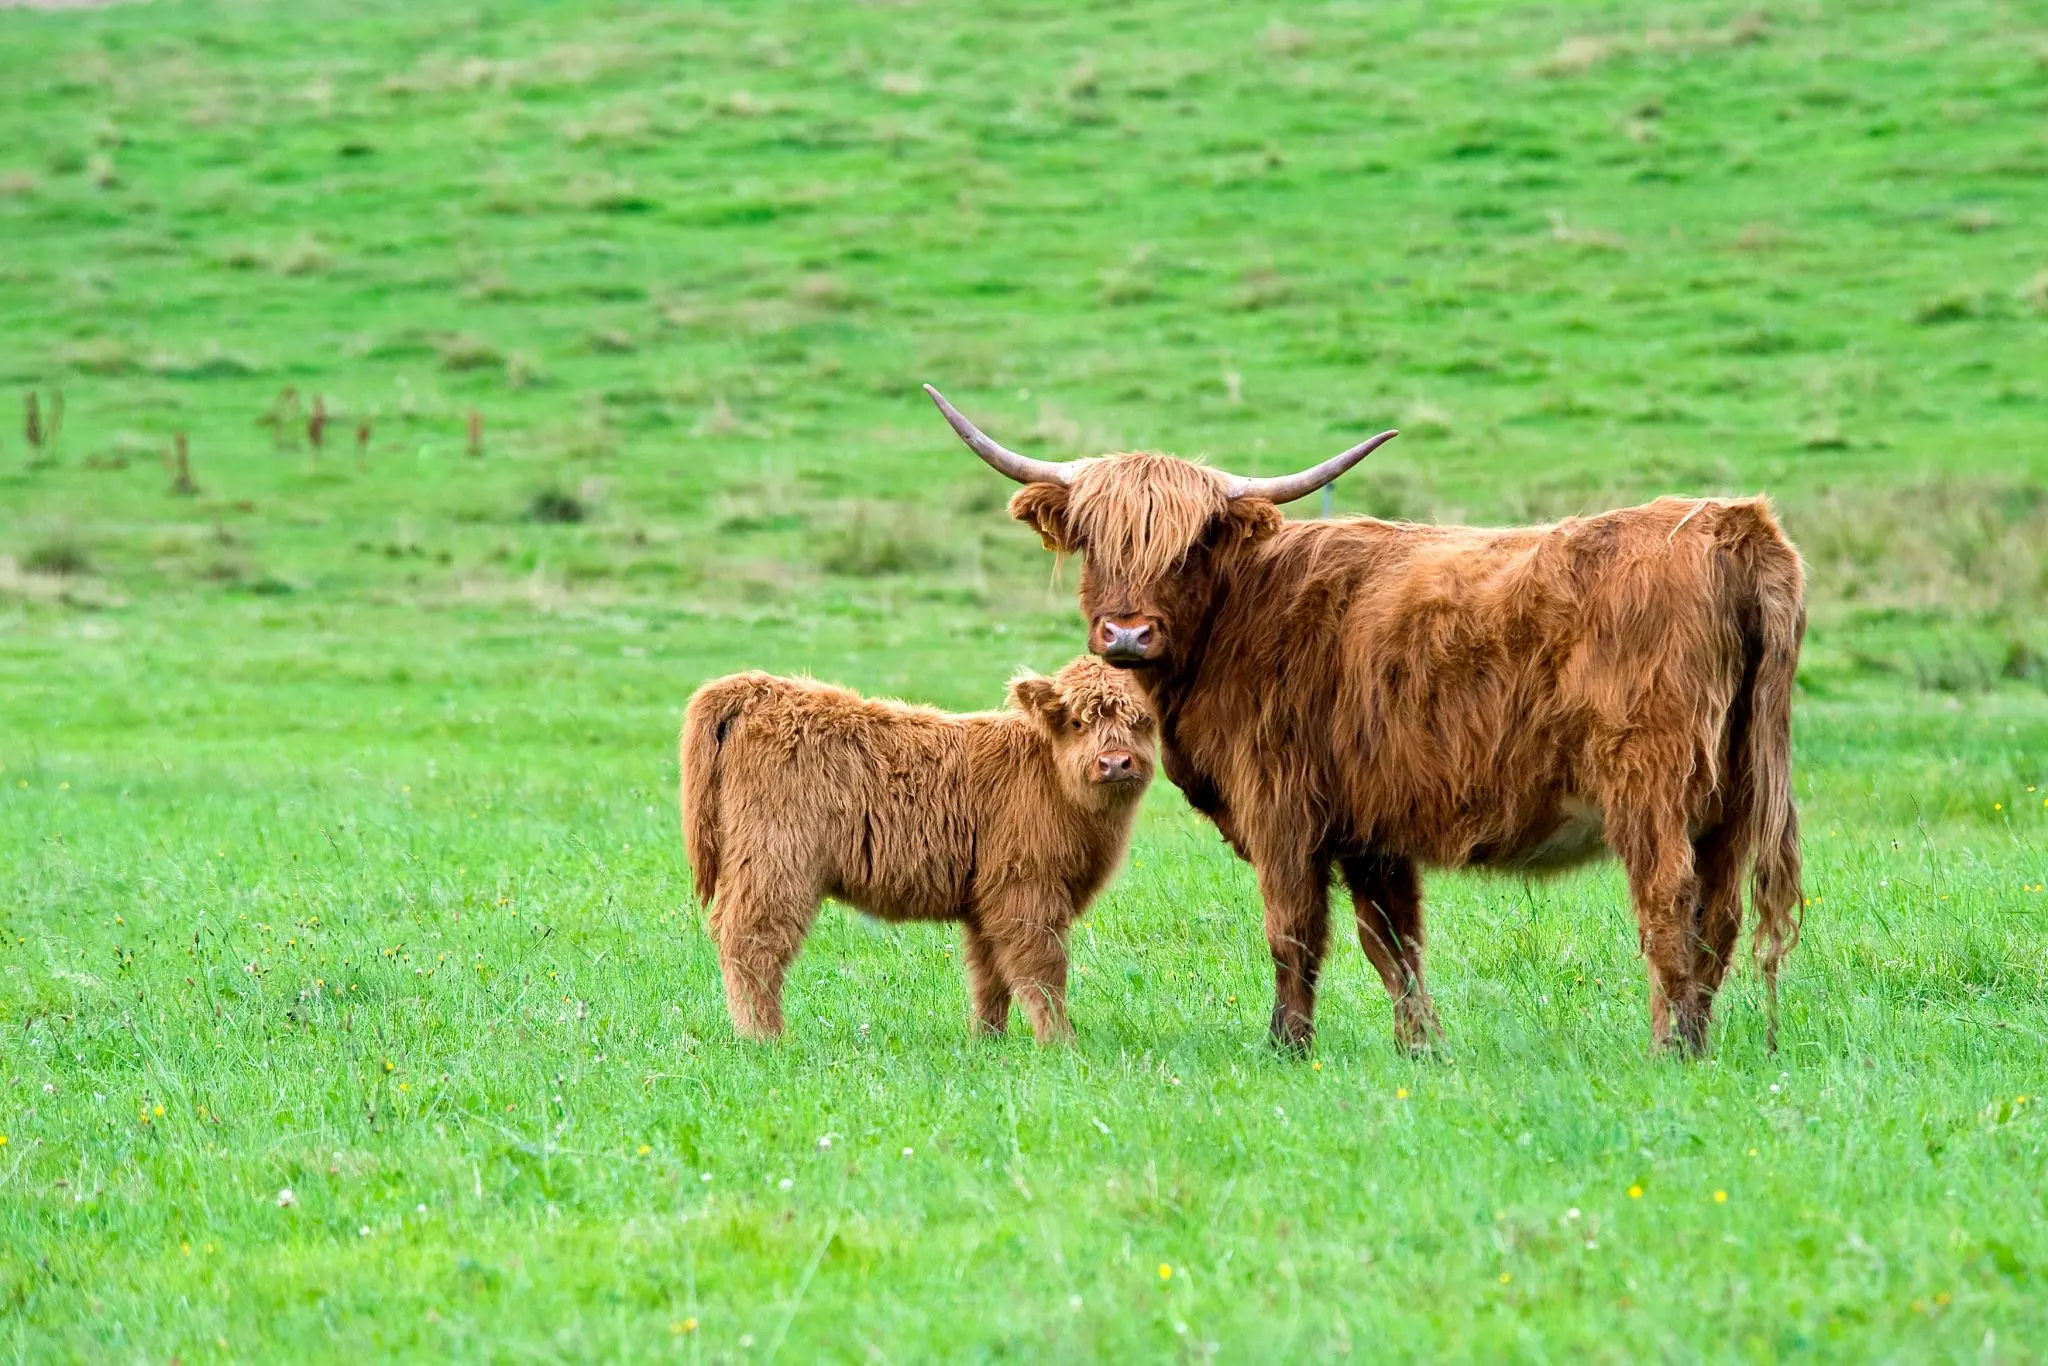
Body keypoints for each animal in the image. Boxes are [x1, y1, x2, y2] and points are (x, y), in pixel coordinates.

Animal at [679, 657, 1156, 1042]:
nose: (1115, 762)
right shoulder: (1025, 891)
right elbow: (1042, 970)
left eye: (1143, 721)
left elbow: (989, 975)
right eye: (1078, 722)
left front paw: (988, 1042)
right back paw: (766, 1039)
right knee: (752, 942)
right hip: (776, 862)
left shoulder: (986, 903)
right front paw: (1060, 1043)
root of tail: (762, 687)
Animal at [924, 384, 1805, 1057]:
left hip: (1652, 785)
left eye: (1191, 544)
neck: (1240, 615)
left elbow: (1293, 931)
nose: (1127, 635)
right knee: (1720, 915)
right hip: (1737, 794)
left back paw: (1669, 1050)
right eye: (1091, 537)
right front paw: (1423, 1050)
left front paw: (1286, 1048)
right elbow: (1394, 943)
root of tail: (1731, 525)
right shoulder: (1372, 827)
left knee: (1669, 906)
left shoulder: (1283, 809)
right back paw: (1697, 1041)